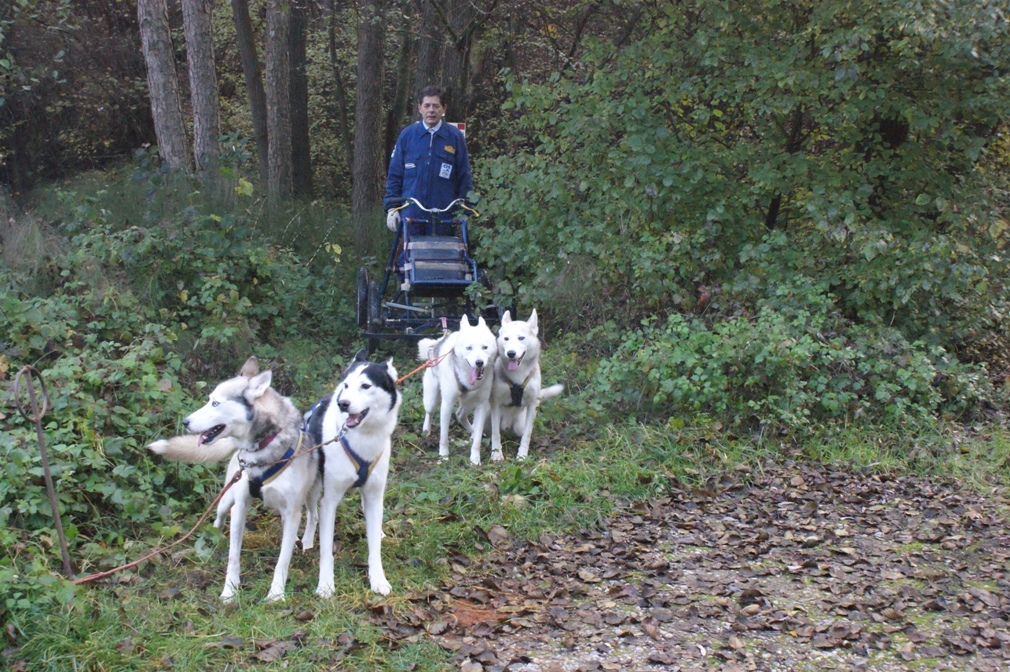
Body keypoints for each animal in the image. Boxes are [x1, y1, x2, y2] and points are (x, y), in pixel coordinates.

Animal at [145, 355, 319, 602]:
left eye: (215, 404)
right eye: (209, 400)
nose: (186, 422)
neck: (261, 450)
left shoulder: (293, 510)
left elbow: (282, 561)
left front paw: (276, 595)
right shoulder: (240, 506)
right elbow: (233, 557)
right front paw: (229, 592)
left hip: (311, 497)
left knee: (312, 517)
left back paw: (304, 542)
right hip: (227, 498)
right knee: (217, 518)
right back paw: (215, 536)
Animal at [303, 347, 401, 594]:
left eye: (365, 386)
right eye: (346, 385)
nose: (343, 403)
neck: (363, 437)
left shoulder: (375, 494)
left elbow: (374, 546)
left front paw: (378, 579)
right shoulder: (329, 500)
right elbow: (326, 550)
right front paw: (325, 585)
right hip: (313, 487)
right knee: (312, 514)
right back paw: (307, 540)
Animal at [416, 315, 498, 464]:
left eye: (485, 347)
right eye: (469, 348)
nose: (479, 362)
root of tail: (437, 343)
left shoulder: (481, 405)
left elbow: (477, 439)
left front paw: (475, 459)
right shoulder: (447, 404)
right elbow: (443, 437)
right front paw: (443, 457)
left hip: (469, 402)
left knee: (460, 414)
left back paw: (472, 431)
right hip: (432, 399)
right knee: (429, 413)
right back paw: (426, 429)